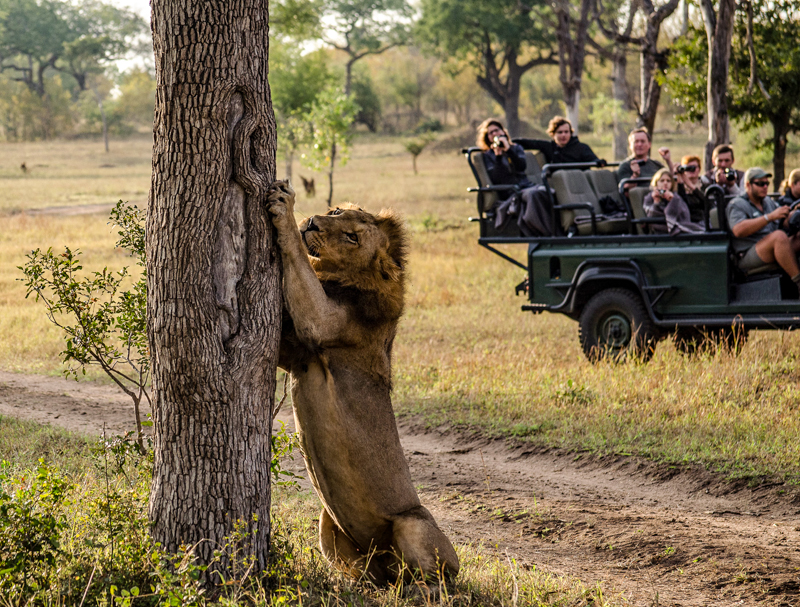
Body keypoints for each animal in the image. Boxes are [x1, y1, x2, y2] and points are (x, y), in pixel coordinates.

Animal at [266, 182, 460, 588]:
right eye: (337, 211)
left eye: (352, 237)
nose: (312, 221)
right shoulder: (295, 354)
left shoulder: (322, 322)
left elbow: (297, 258)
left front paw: (284, 208)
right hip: (328, 524)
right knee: (371, 576)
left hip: (412, 523)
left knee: (438, 578)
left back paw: (422, 589)